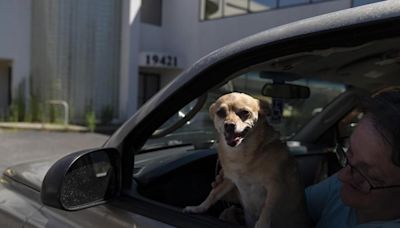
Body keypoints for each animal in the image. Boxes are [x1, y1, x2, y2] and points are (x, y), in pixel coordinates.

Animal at [184, 92, 310, 228]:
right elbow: (213, 194)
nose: (229, 125)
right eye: (220, 112)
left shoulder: (275, 186)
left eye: (245, 112)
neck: (243, 154)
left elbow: (268, 206)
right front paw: (198, 208)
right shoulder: (229, 181)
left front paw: (262, 224)